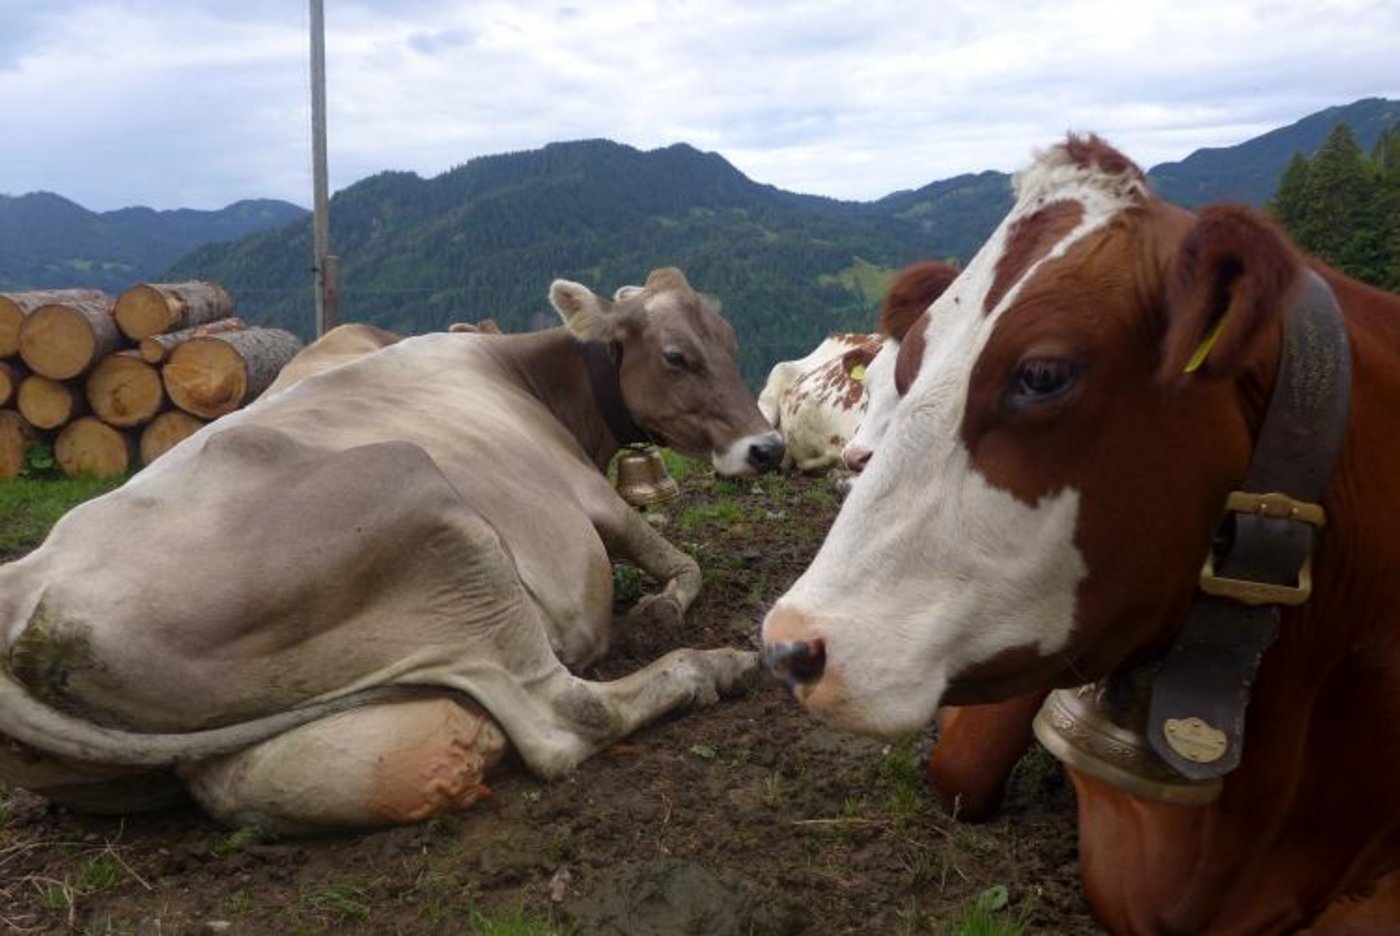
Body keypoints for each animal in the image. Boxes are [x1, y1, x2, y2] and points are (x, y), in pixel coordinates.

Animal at [0, 267, 784, 836]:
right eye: (677, 356)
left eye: (731, 341)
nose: (768, 447)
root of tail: (28, 589)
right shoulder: (593, 499)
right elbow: (681, 562)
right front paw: (663, 610)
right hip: (433, 511)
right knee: (565, 720)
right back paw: (715, 667)